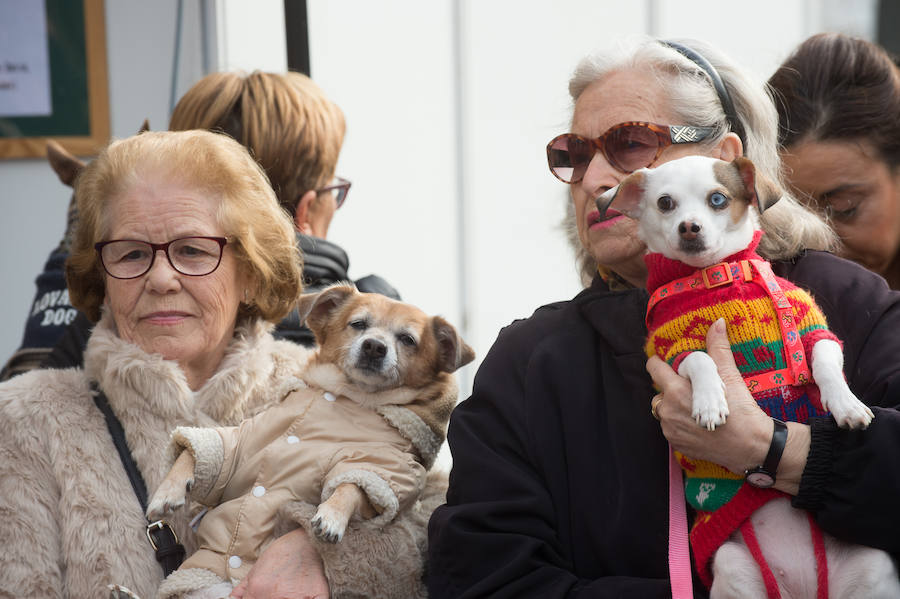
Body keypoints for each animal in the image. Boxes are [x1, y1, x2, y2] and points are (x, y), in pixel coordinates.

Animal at [144, 286, 474, 599]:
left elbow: (352, 485)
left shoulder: (384, 467)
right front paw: (166, 492)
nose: (374, 346)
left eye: (407, 340)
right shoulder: (245, 440)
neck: (346, 397)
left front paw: (332, 516)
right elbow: (195, 453)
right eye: (358, 324)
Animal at [596, 157, 896, 596]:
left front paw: (846, 405)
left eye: (718, 199)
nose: (689, 227)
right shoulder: (673, 347)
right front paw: (710, 401)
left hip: (872, 567)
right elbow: (701, 360)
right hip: (734, 569)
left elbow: (825, 363)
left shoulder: (811, 328)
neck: (717, 275)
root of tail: (803, 591)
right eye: (665, 203)